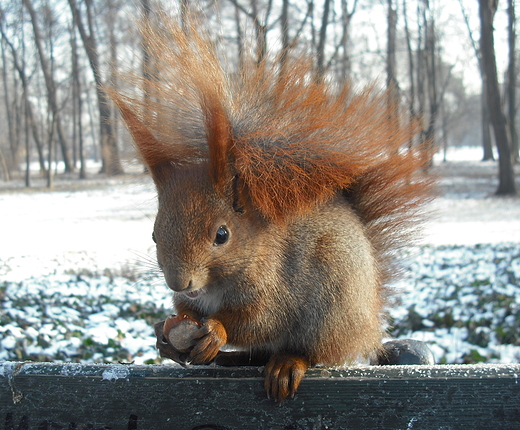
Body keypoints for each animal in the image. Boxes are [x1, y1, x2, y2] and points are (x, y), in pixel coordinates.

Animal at [111, 15, 432, 402]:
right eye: (154, 234)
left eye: (222, 234)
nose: (179, 282)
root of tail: (367, 324)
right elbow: (187, 312)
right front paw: (166, 332)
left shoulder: (276, 284)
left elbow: (260, 320)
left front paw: (216, 331)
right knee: (261, 352)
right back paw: (232, 360)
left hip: (331, 305)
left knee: (308, 351)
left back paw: (285, 364)